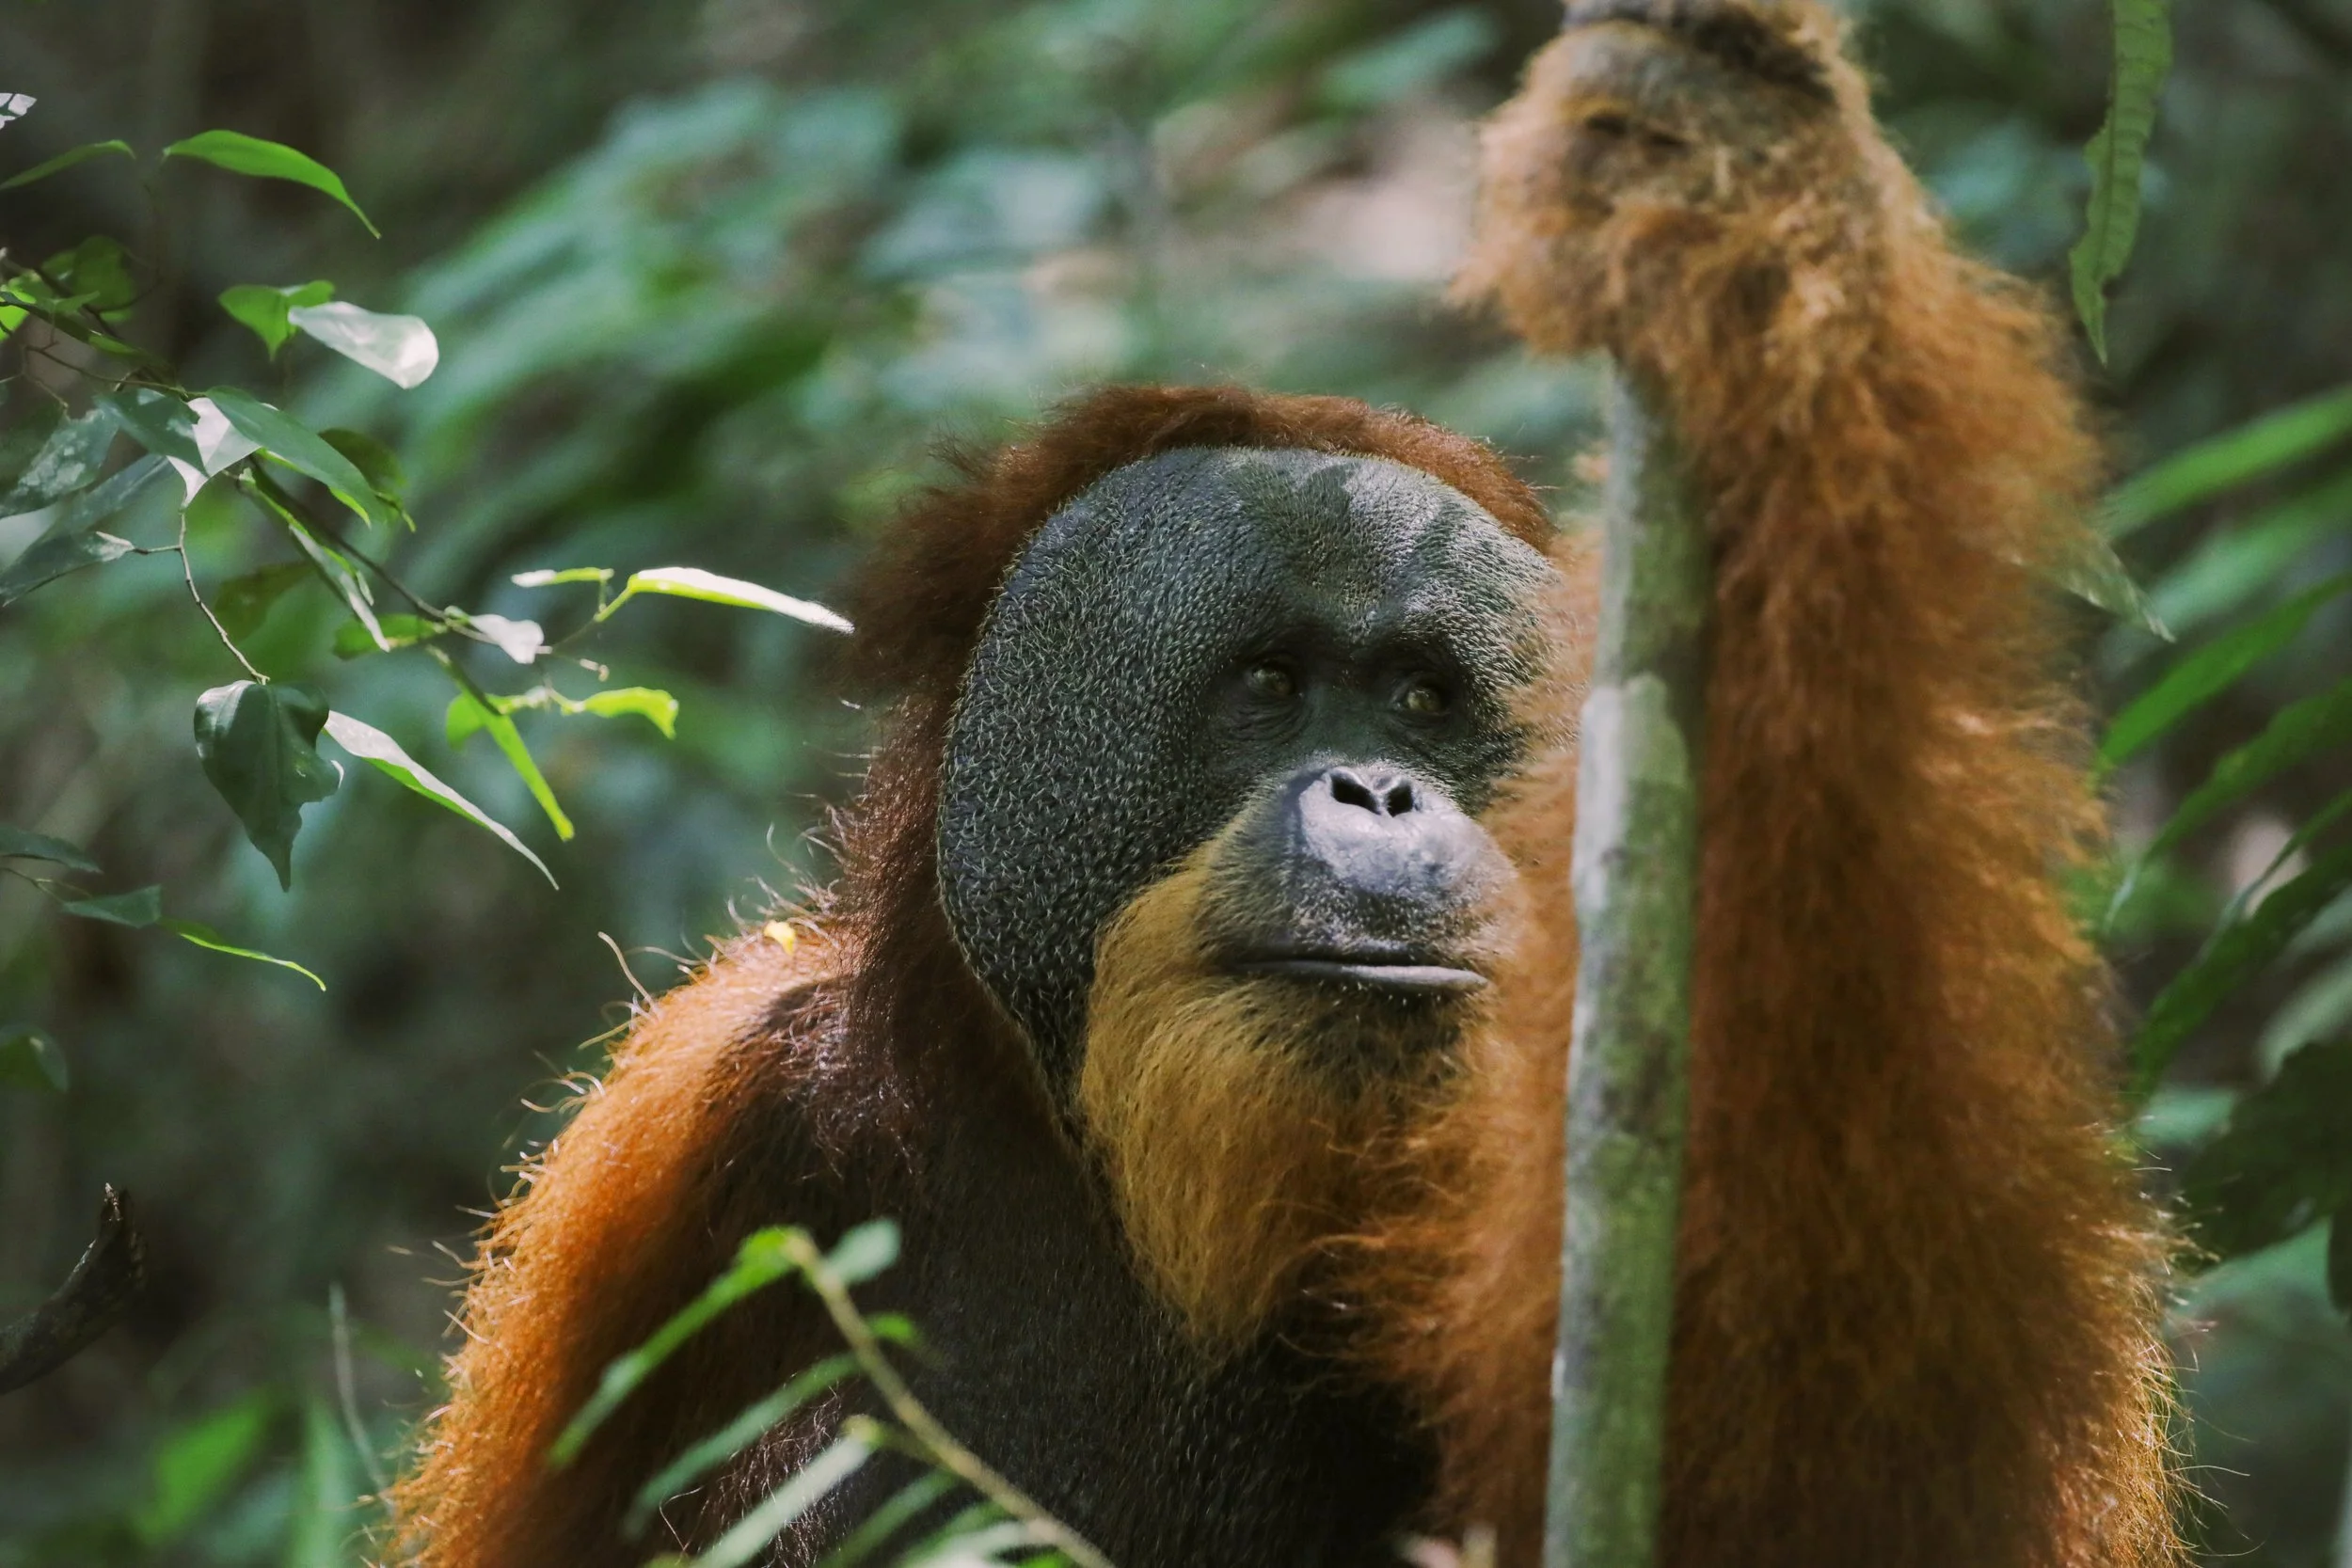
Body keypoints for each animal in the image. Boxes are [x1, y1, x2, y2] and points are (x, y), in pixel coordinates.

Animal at [389, 3, 2180, 1566]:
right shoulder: (693, 1144)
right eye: (1264, 686)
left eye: (1420, 698)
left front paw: (1752, 227)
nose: (1377, 795)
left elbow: (1846, 1483)